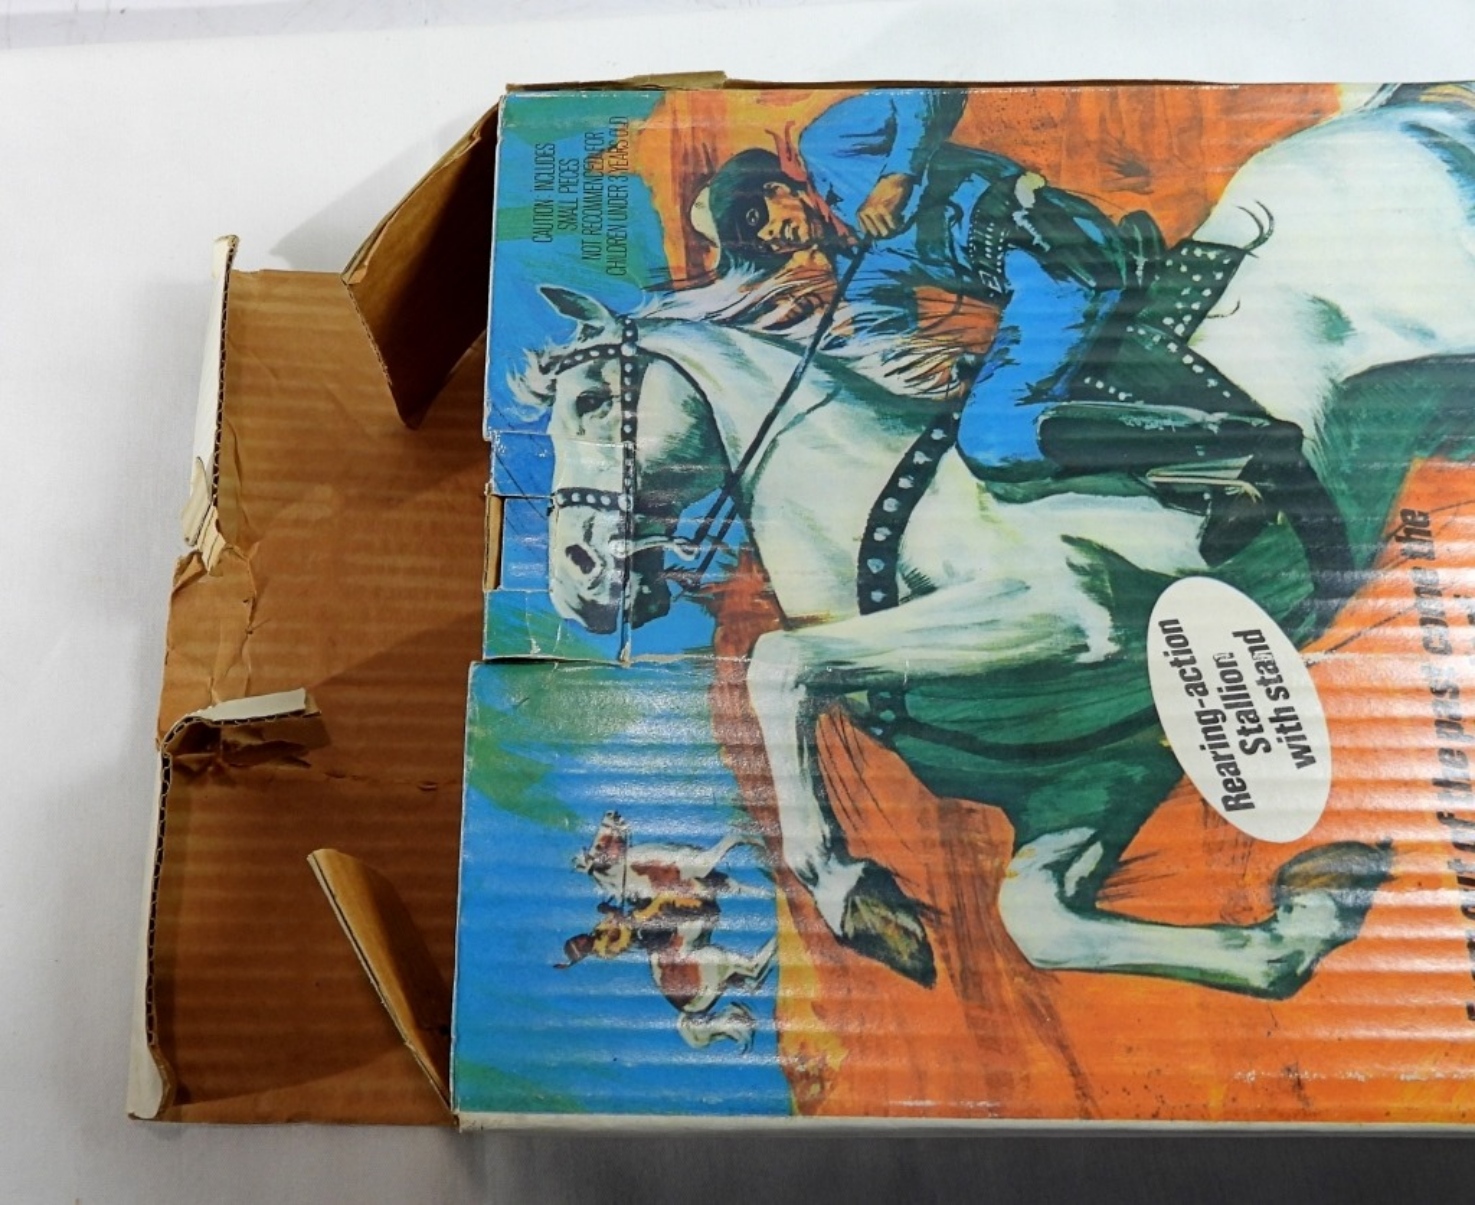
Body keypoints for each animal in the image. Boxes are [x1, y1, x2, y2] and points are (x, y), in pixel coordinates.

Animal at [519, 88, 1475, 999]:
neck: (867, 495)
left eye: (593, 400)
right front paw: (1311, 912)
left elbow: (780, 663)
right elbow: (1040, 924)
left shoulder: (1057, 608)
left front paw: (853, 893)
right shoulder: (1096, 774)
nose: (579, 580)